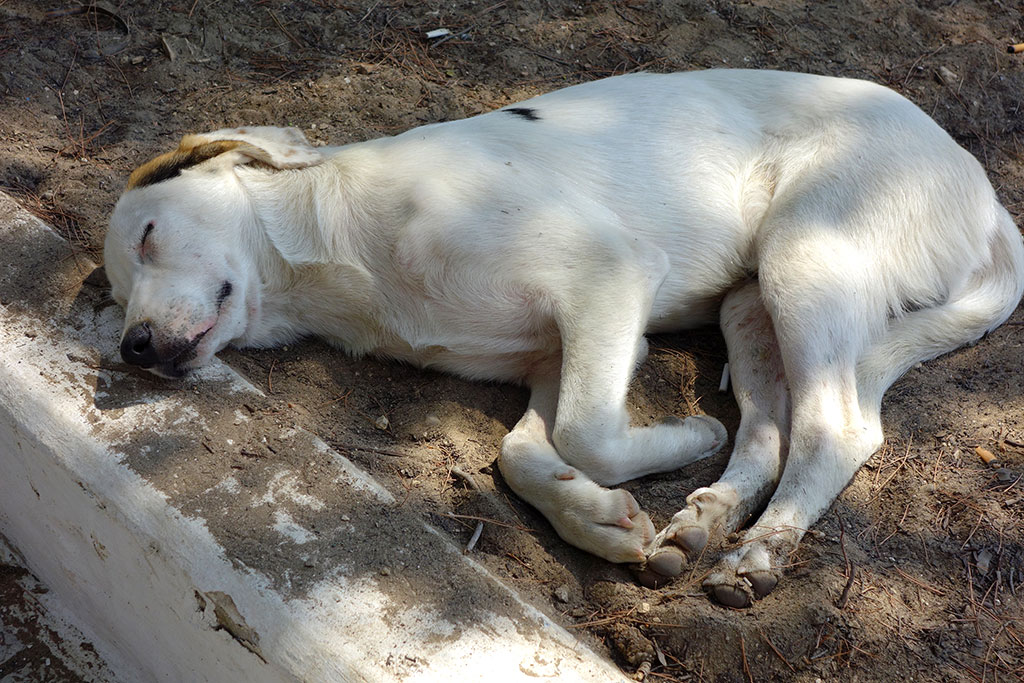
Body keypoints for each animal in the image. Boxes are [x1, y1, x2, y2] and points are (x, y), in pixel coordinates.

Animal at [105, 70, 1024, 610]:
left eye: (149, 234)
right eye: (115, 296)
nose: (132, 347)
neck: (338, 251)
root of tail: (986, 198)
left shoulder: (606, 278)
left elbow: (586, 432)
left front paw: (682, 437)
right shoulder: (550, 355)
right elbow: (520, 453)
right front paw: (604, 520)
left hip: (807, 254)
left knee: (840, 426)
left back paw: (760, 549)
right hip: (750, 303)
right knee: (771, 426)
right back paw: (705, 522)